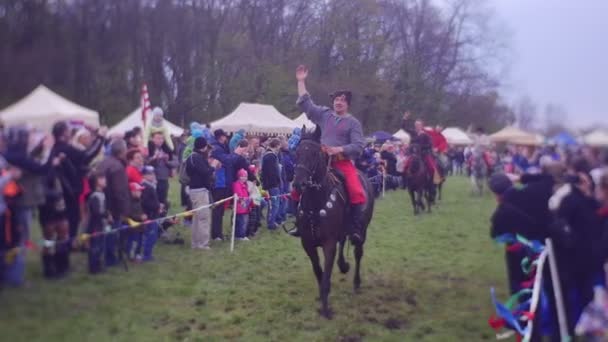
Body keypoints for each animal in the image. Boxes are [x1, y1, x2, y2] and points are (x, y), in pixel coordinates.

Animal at [292, 125, 372, 318]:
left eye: (314, 154)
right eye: (296, 153)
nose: (298, 184)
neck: (315, 202)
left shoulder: (328, 244)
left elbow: (326, 275)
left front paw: (326, 309)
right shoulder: (308, 243)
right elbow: (318, 272)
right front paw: (322, 298)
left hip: (362, 231)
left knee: (358, 253)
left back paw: (356, 282)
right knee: (343, 243)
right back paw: (343, 265)